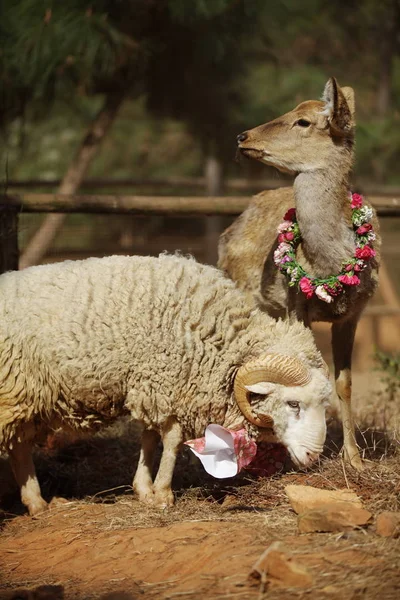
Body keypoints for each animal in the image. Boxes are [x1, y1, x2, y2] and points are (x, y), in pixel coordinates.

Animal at [0, 253, 332, 516]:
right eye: (293, 403)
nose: (314, 457)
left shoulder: (156, 382)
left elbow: (149, 437)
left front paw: (144, 488)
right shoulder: (165, 381)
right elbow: (171, 440)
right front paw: (162, 493)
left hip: (24, 395)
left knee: (19, 446)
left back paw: (37, 503)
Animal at [219, 77, 382, 472]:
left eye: (303, 121)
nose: (243, 136)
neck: (329, 264)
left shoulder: (354, 313)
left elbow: (344, 382)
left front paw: (354, 459)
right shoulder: (296, 306)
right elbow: (308, 371)